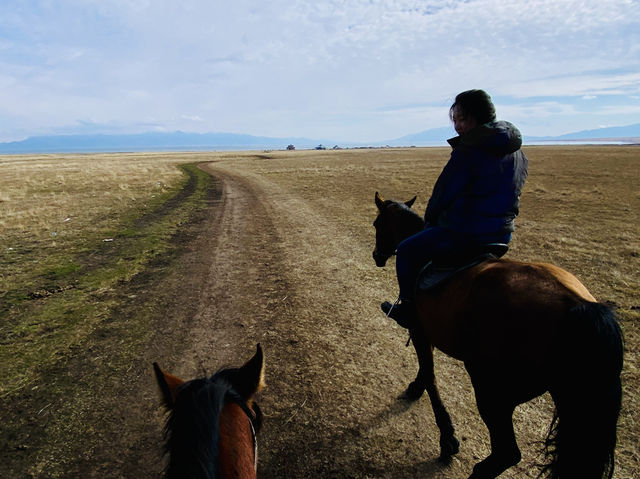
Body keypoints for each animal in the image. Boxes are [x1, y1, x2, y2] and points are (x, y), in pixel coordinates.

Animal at [372, 193, 624, 478]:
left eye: (377, 224)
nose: (377, 256)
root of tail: (576, 305)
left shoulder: (419, 331)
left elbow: (430, 374)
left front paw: (447, 437)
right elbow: (427, 373)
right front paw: (418, 390)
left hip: (492, 388)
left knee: (506, 454)